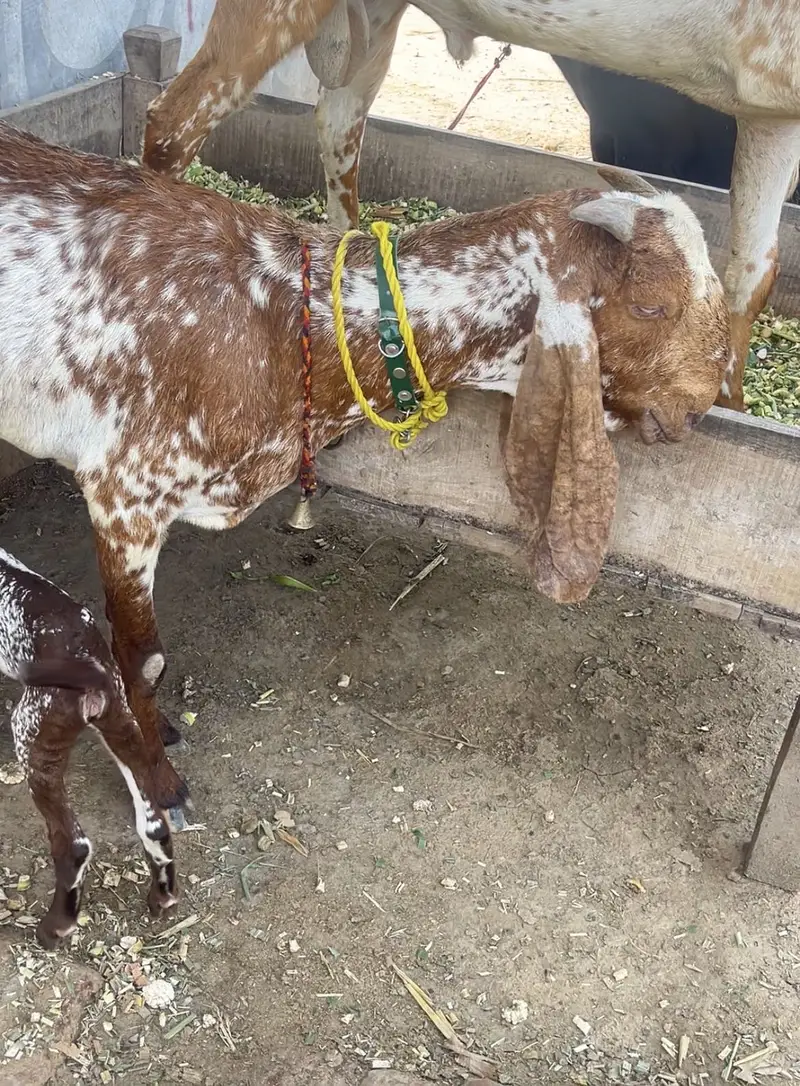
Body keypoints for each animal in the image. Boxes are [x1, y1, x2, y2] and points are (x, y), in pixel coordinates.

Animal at [0, 121, 729, 810]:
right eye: (651, 304)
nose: (697, 407)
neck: (282, 318)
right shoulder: (125, 493)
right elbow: (141, 658)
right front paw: (157, 782)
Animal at [0, 546, 178, 947]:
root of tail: (88, 659)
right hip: (124, 730)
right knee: (154, 827)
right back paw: (162, 897)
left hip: (34, 741)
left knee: (73, 846)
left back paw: (54, 928)